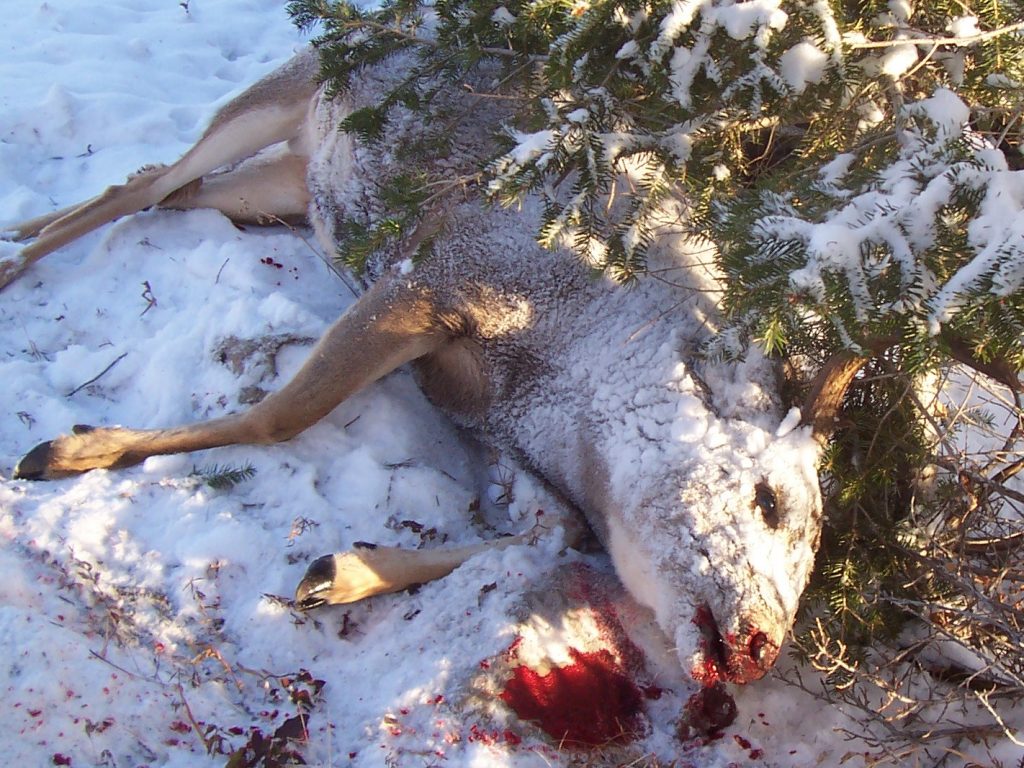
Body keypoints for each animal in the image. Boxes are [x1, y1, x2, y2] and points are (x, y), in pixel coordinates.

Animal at [2, 44, 866, 713]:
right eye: (769, 499)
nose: (760, 645)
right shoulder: (441, 276)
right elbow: (284, 415)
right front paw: (77, 448)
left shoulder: (496, 424)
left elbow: (554, 530)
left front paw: (342, 571)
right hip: (289, 87)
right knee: (149, 182)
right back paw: (17, 261)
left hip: (286, 188)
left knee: (165, 188)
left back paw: (27, 230)